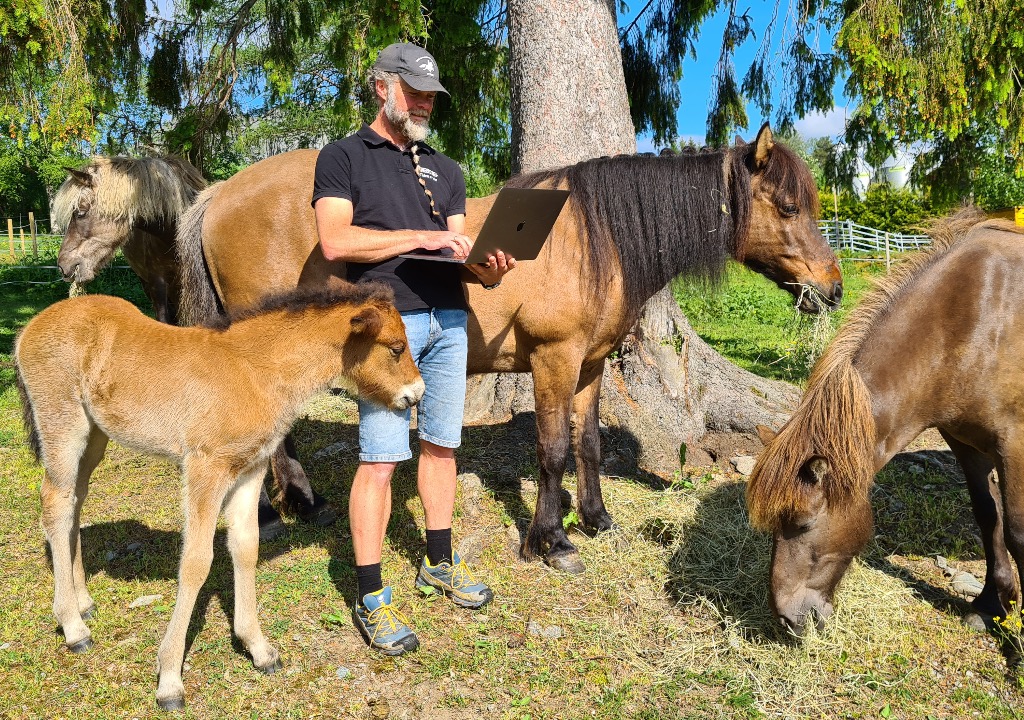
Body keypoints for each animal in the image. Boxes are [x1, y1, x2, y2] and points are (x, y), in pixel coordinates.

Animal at [12, 282, 419, 708]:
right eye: (395, 347)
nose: (416, 394)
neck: (255, 371)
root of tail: (29, 328)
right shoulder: (205, 469)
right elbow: (195, 561)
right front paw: (169, 679)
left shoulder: (250, 470)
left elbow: (245, 546)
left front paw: (259, 649)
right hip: (63, 426)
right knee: (56, 504)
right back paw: (73, 627)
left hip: (94, 437)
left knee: (75, 502)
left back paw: (83, 603)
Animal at [176, 123, 843, 573]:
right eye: (789, 206)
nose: (832, 288)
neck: (592, 237)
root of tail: (219, 194)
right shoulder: (554, 359)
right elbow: (552, 451)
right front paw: (550, 541)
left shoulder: (590, 366)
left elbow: (588, 444)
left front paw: (597, 518)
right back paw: (274, 510)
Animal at [745, 209, 1024, 643]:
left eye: (802, 522)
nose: (789, 620)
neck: (974, 321)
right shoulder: (965, 443)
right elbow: (987, 515)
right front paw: (991, 606)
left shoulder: (1014, 446)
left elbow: (1016, 531)